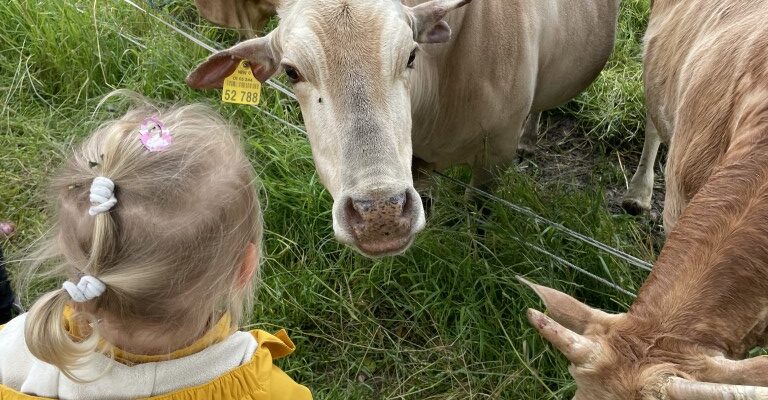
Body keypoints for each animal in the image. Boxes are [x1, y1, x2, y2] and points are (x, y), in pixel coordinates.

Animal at [188, 0, 624, 256]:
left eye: (411, 54)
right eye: (291, 71)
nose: (378, 215)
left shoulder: (494, 157)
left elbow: (479, 212)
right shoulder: (416, 164)